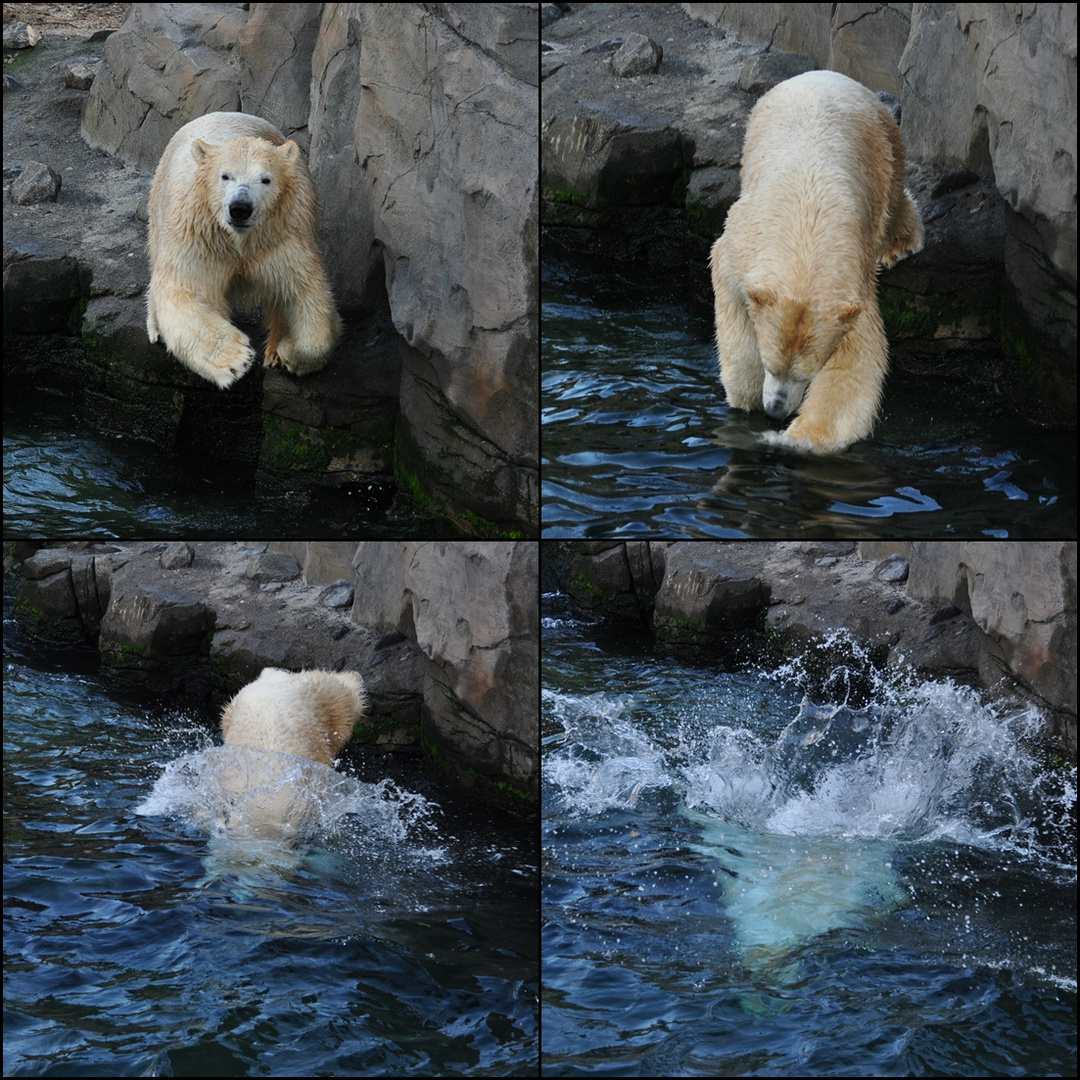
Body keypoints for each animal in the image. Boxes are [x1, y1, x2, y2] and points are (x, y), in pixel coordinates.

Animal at [147, 111, 339, 390]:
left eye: (266, 179)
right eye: (225, 176)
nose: (240, 207)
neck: (237, 240)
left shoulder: (279, 237)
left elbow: (300, 291)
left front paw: (287, 352)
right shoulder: (200, 236)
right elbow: (185, 291)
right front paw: (237, 358)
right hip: (160, 197)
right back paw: (154, 327)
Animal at [712, 70, 924, 451]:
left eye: (806, 375)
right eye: (770, 365)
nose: (776, 410)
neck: (804, 248)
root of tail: (828, 74)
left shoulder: (852, 286)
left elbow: (857, 359)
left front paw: (798, 438)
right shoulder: (739, 249)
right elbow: (729, 294)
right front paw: (746, 394)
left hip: (883, 142)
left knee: (893, 190)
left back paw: (900, 243)